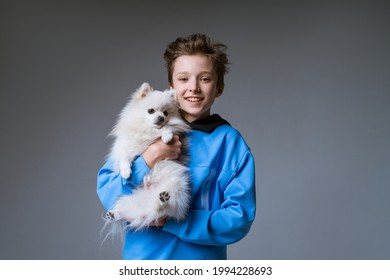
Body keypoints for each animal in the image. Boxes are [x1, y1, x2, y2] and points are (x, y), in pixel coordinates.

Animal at [105, 82, 190, 231]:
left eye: (166, 113)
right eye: (151, 110)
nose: (161, 118)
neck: (148, 132)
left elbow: (168, 128)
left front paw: (166, 136)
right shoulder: (127, 146)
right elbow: (124, 158)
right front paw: (125, 172)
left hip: (177, 186)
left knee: (163, 209)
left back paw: (162, 200)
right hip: (129, 198)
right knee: (128, 211)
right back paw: (115, 214)